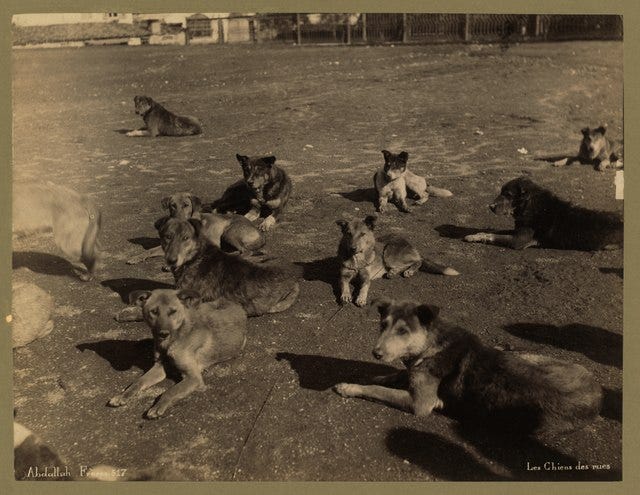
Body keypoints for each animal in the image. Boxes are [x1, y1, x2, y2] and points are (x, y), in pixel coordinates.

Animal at [109, 289, 246, 419]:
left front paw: (157, 407)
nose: (163, 334)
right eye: (154, 311)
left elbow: (171, 391)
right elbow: (139, 381)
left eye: (173, 312)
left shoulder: (193, 378)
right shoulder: (159, 367)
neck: (172, 341)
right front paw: (123, 395)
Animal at [126, 193, 265, 264]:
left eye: (186, 205)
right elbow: (150, 251)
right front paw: (136, 257)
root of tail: (259, 232)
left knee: (246, 251)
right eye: (172, 205)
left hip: (229, 232)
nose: (179, 219)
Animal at [334, 300, 603, 439]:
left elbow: (377, 389)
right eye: (383, 325)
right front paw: (372, 374)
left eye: (403, 331)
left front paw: (350, 387)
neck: (431, 345)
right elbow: (390, 376)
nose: (376, 353)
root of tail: (599, 395)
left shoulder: (420, 404)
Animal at [463, 177, 623, 251]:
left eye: (508, 195)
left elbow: (495, 236)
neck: (530, 205)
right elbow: (496, 231)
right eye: (501, 192)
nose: (490, 206)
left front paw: (475, 237)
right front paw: (476, 234)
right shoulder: (517, 230)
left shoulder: (518, 241)